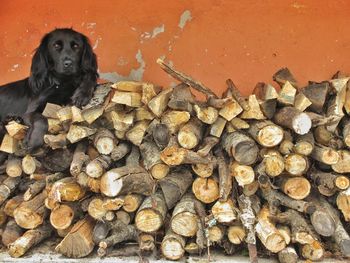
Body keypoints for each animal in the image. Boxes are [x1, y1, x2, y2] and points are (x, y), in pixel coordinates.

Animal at [0, 27, 98, 160]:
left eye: (76, 46)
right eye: (56, 45)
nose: (68, 63)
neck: (63, 82)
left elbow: (89, 77)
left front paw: (82, 94)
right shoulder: (29, 112)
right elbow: (41, 119)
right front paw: (33, 140)